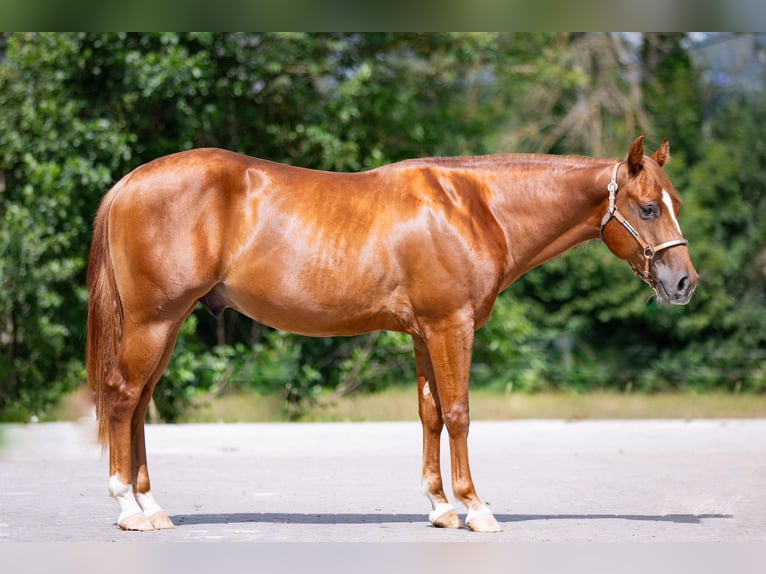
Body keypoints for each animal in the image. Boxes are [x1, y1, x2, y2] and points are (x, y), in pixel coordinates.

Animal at [87, 137, 700, 532]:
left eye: (677, 203)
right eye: (649, 208)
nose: (685, 282)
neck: (475, 209)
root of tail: (128, 183)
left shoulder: (424, 333)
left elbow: (431, 413)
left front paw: (440, 507)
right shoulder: (451, 326)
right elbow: (459, 412)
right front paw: (476, 509)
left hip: (168, 324)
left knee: (139, 404)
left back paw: (152, 507)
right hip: (154, 320)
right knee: (122, 397)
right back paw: (126, 508)